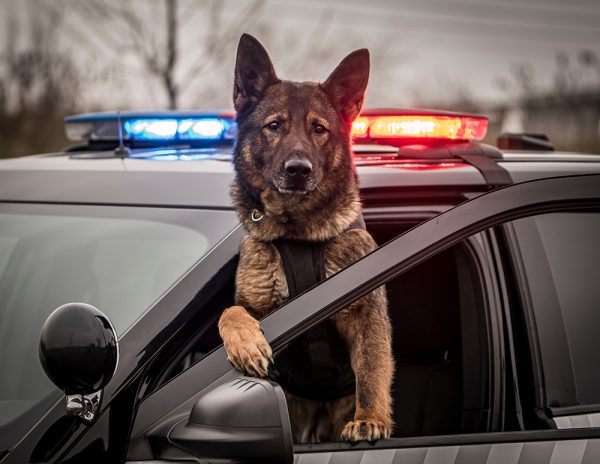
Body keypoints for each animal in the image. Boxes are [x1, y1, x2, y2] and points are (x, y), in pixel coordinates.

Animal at [216, 34, 394, 444]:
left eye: (318, 129)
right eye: (274, 125)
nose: (298, 170)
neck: (297, 233)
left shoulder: (367, 313)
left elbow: (373, 369)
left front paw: (370, 418)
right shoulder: (253, 303)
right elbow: (229, 311)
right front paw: (246, 343)